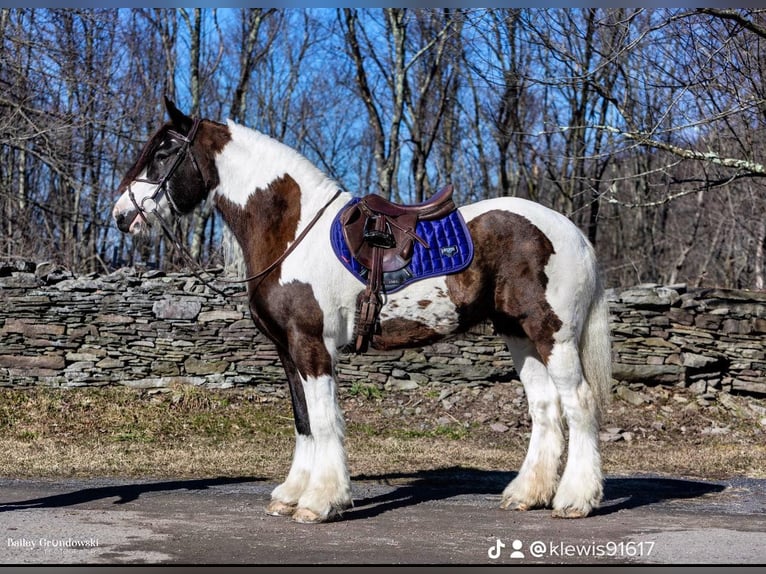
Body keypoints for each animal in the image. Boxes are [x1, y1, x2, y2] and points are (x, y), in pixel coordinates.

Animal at [111, 100, 612, 528]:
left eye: (163, 152)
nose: (120, 215)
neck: (292, 229)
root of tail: (573, 233)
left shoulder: (312, 345)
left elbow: (324, 419)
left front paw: (320, 502)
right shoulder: (287, 350)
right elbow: (303, 419)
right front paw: (291, 494)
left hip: (552, 334)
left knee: (579, 403)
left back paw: (575, 500)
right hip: (518, 334)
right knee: (545, 408)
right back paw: (526, 494)